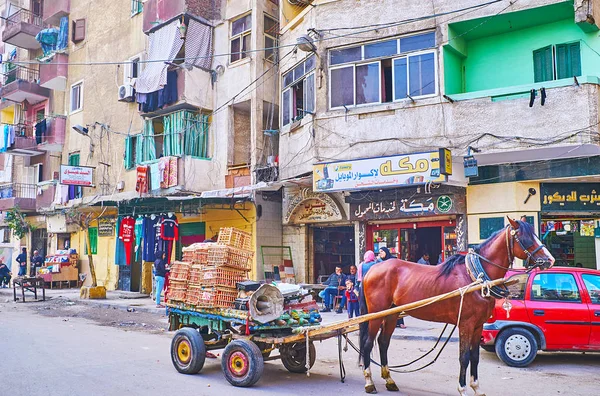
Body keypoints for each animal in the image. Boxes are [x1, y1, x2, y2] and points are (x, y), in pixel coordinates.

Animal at [358, 218, 556, 394]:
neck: (476, 277)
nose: (550, 260)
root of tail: (373, 269)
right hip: (375, 314)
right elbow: (464, 357)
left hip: (391, 314)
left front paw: (477, 388)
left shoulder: (478, 325)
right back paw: (368, 382)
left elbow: (475, 357)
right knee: (367, 344)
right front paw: (462, 388)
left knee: (383, 342)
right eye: (526, 238)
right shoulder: (466, 324)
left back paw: (389, 380)